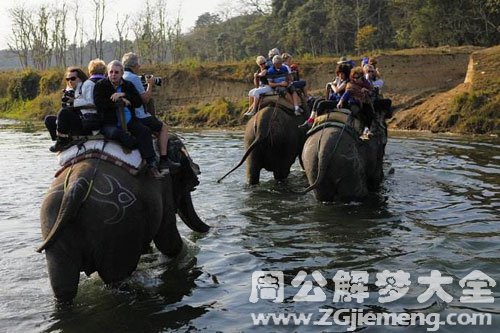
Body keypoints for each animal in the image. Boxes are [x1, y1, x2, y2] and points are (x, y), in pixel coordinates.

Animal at [37, 136, 209, 302]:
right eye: (189, 184)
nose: (209, 228)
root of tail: (76, 186)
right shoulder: (164, 187)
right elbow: (168, 242)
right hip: (118, 229)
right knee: (117, 277)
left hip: (52, 219)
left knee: (63, 288)